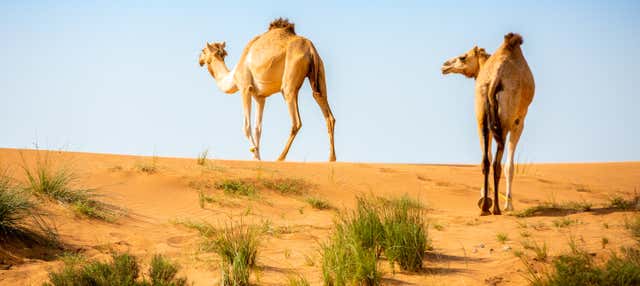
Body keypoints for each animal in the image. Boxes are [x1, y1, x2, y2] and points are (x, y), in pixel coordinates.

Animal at [198, 18, 336, 161]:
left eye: (203, 50)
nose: (199, 60)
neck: (233, 76)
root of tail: (310, 48)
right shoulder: (260, 97)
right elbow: (258, 128)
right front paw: (257, 157)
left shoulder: (245, 87)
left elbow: (246, 126)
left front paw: (254, 151)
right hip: (319, 73)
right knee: (326, 111)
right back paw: (331, 158)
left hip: (289, 81)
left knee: (296, 121)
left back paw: (280, 158)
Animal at [440, 33, 536, 214]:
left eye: (463, 57)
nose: (444, 66)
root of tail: (494, 78)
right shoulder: (519, 122)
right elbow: (509, 166)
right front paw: (509, 205)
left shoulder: (489, 122)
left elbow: (488, 157)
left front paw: (484, 197)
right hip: (505, 119)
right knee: (498, 164)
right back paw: (497, 208)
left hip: (481, 115)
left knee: (486, 160)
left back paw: (485, 207)